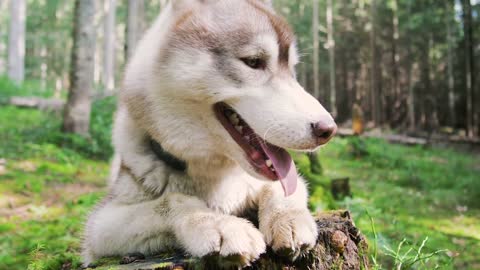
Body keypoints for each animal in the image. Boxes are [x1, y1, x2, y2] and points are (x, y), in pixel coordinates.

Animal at [82, 0, 336, 266]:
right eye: (254, 61)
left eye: (292, 70)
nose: (328, 130)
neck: (217, 175)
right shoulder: (100, 228)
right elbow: (174, 200)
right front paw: (221, 225)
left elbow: (283, 189)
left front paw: (288, 217)